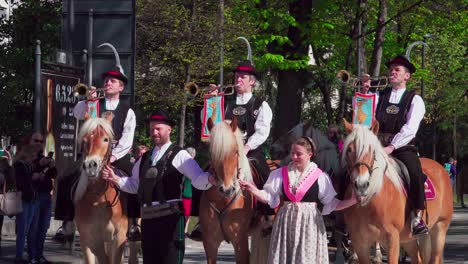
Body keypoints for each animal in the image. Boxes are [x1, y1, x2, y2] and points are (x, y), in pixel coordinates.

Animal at [72, 118, 127, 264]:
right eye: (85, 140)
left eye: (105, 139)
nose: (91, 165)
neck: (99, 198)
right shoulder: (88, 240)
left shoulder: (118, 239)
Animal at [198, 118, 260, 262]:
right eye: (212, 153)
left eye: (236, 151)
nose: (227, 190)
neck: (223, 201)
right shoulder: (210, 243)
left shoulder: (240, 242)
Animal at [340, 120, 454, 264]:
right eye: (349, 149)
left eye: (372, 150)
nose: (361, 185)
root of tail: (441, 169)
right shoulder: (360, 243)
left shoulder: (392, 239)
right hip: (409, 239)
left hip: (439, 228)